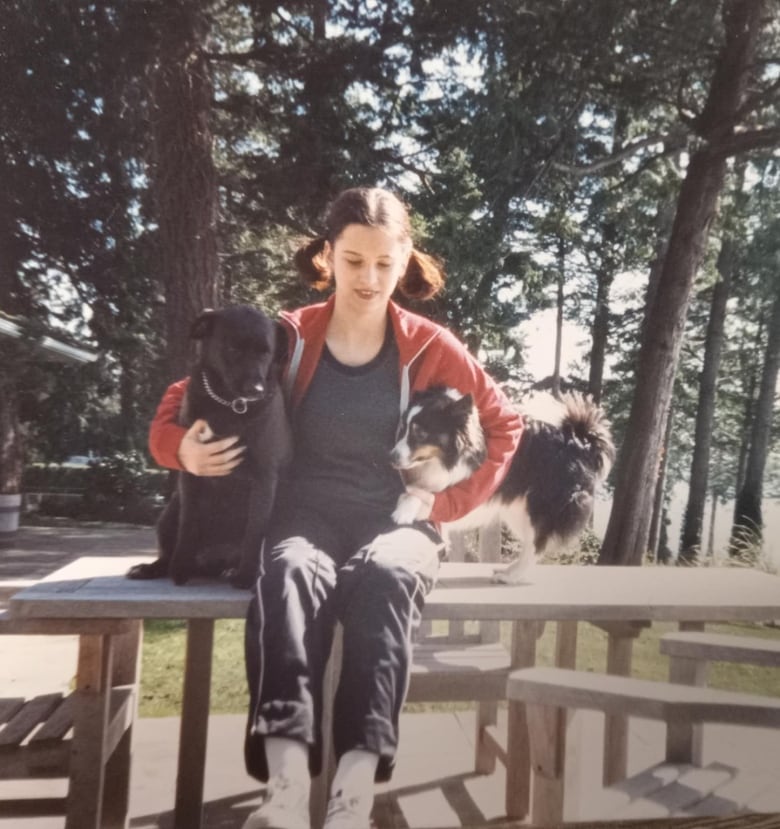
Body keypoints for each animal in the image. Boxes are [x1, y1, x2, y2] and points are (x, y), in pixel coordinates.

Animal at [128, 306, 292, 588]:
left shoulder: (264, 477)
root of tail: (212, 562)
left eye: (266, 351)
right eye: (233, 348)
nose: (255, 389)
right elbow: (188, 524)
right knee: (169, 548)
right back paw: (153, 567)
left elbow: (254, 530)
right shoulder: (192, 474)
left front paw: (246, 576)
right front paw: (180, 570)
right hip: (169, 511)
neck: (230, 406)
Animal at [390, 386, 616, 584]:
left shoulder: (459, 481)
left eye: (420, 433)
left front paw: (403, 511)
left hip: (541, 505)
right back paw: (509, 570)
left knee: (536, 545)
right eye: (403, 429)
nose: (391, 457)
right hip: (518, 510)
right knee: (530, 543)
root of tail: (581, 442)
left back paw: (512, 577)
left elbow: (419, 494)